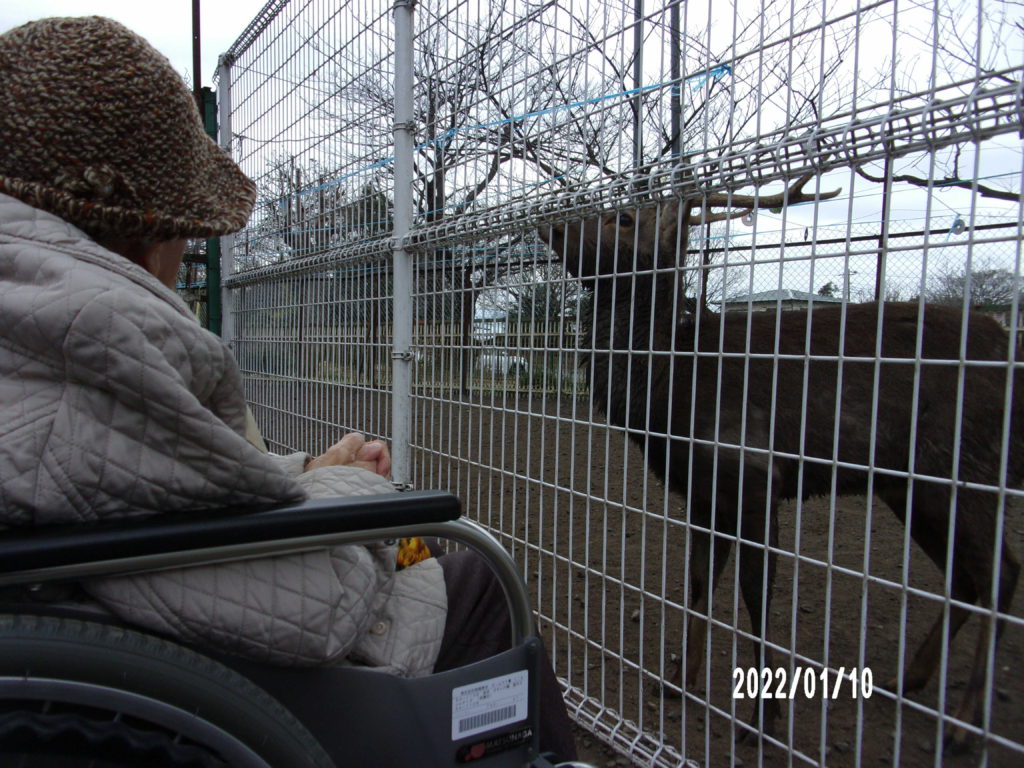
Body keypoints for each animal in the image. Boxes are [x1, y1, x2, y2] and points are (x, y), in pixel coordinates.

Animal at [540, 174, 1019, 753]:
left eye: (625, 219)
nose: (551, 225)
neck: (668, 388)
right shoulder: (702, 493)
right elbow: (698, 583)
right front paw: (675, 682)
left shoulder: (755, 478)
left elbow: (755, 597)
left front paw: (762, 720)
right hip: (908, 486)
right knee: (968, 579)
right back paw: (906, 681)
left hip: (961, 465)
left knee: (1000, 575)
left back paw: (964, 727)